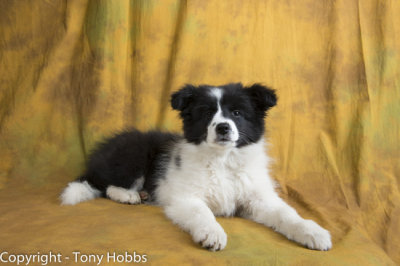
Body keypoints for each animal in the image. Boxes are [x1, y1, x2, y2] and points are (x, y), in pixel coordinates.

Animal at [60, 83, 332, 251]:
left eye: (237, 113)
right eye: (206, 113)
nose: (222, 127)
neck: (222, 160)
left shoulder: (258, 198)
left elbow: (288, 213)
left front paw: (313, 232)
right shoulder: (185, 197)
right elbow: (203, 213)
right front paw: (213, 234)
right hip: (133, 153)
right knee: (104, 184)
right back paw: (129, 195)